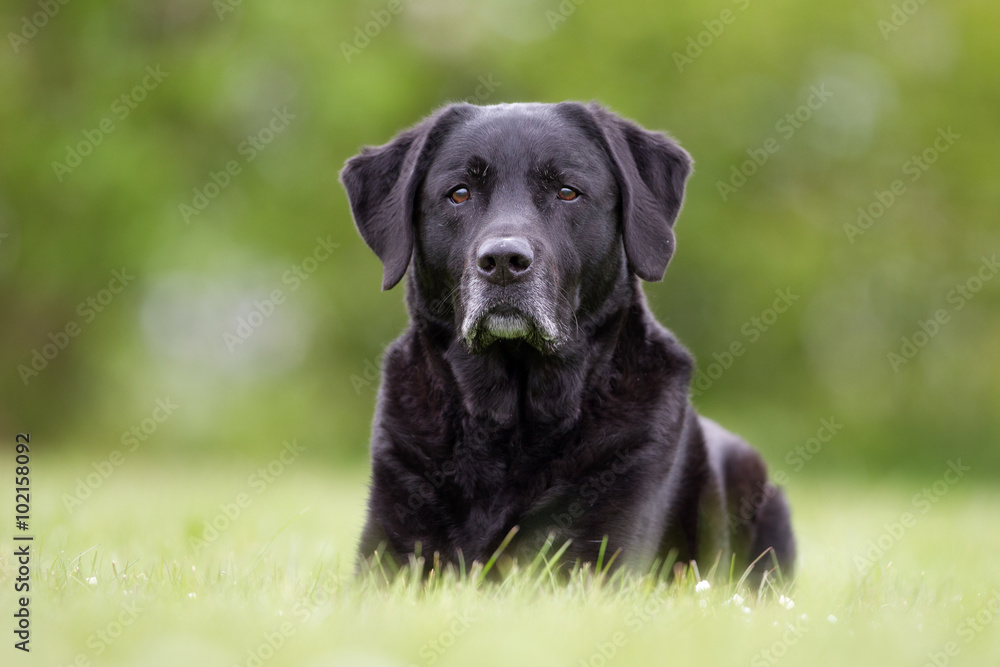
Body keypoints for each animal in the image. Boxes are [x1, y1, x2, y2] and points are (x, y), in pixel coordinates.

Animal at [340, 102, 792, 580]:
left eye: (567, 192)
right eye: (459, 193)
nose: (503, 261)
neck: (511, 420)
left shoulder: (597, 560)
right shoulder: (389, 555)